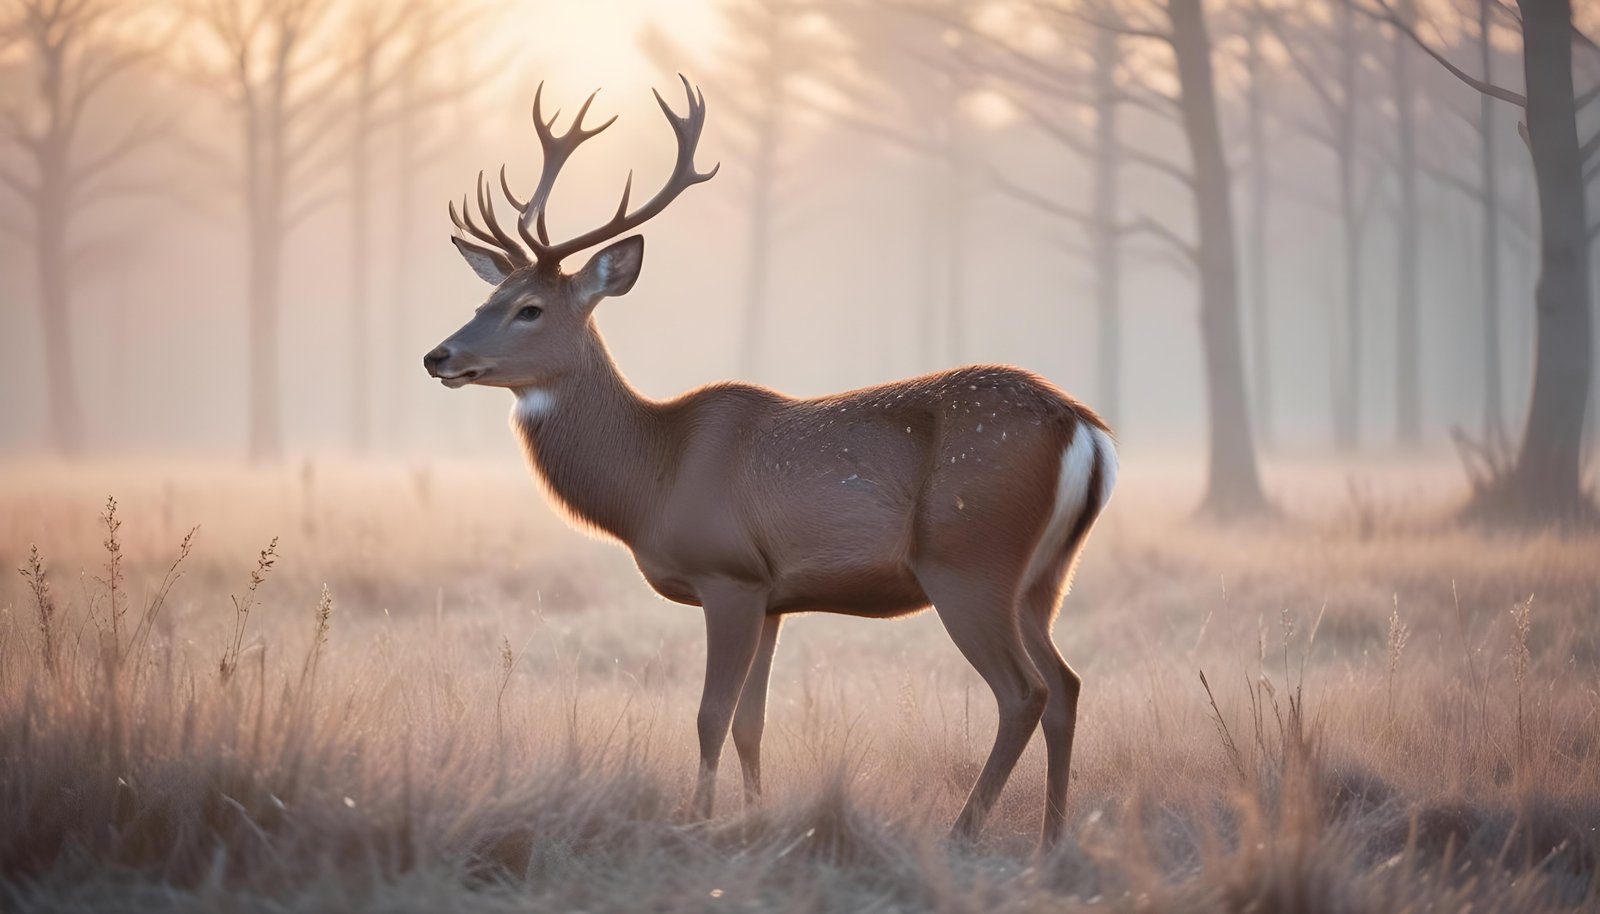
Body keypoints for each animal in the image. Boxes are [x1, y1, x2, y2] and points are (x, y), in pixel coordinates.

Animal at [422, 77, 1118, 847]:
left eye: (530, 309)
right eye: (484, 297)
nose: (438, 356)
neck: (653, 477)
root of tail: (1084, 427)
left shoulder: (728, 574)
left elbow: (709, 715)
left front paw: (696, 824)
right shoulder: (775, 594)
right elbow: (750, 723)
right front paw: (755, 822)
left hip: (969, 559)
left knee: (1025, 691)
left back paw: (963, 832)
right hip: (1044, 574)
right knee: (1068, 685)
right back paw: (1053, 840)